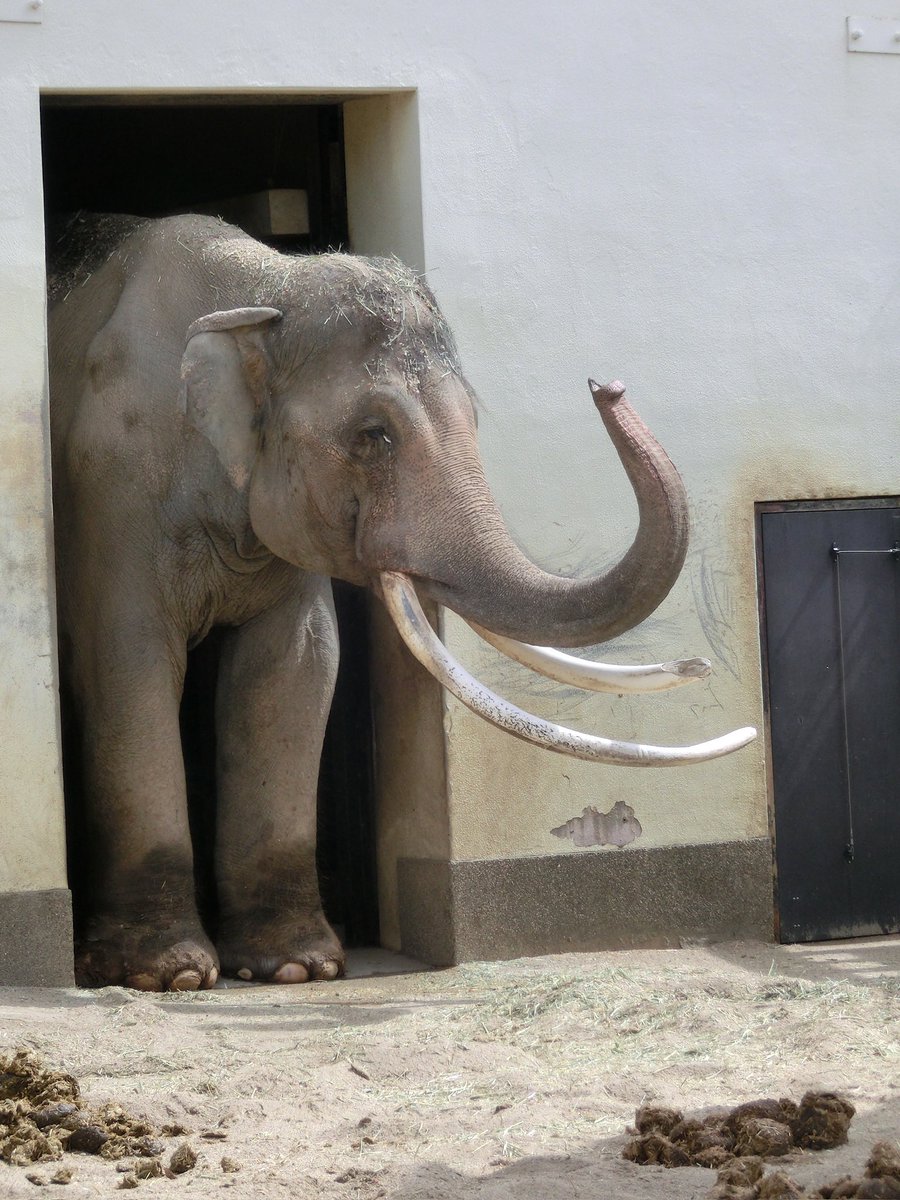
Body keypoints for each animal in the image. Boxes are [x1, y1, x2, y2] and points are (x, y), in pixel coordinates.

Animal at [47, 212, 754, 992]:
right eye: (373, 435)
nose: (606, 384)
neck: (264, 285)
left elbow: (294, 671)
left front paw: (298, 967)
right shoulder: (109, 488)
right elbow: (126, 665)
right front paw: (166, 975)